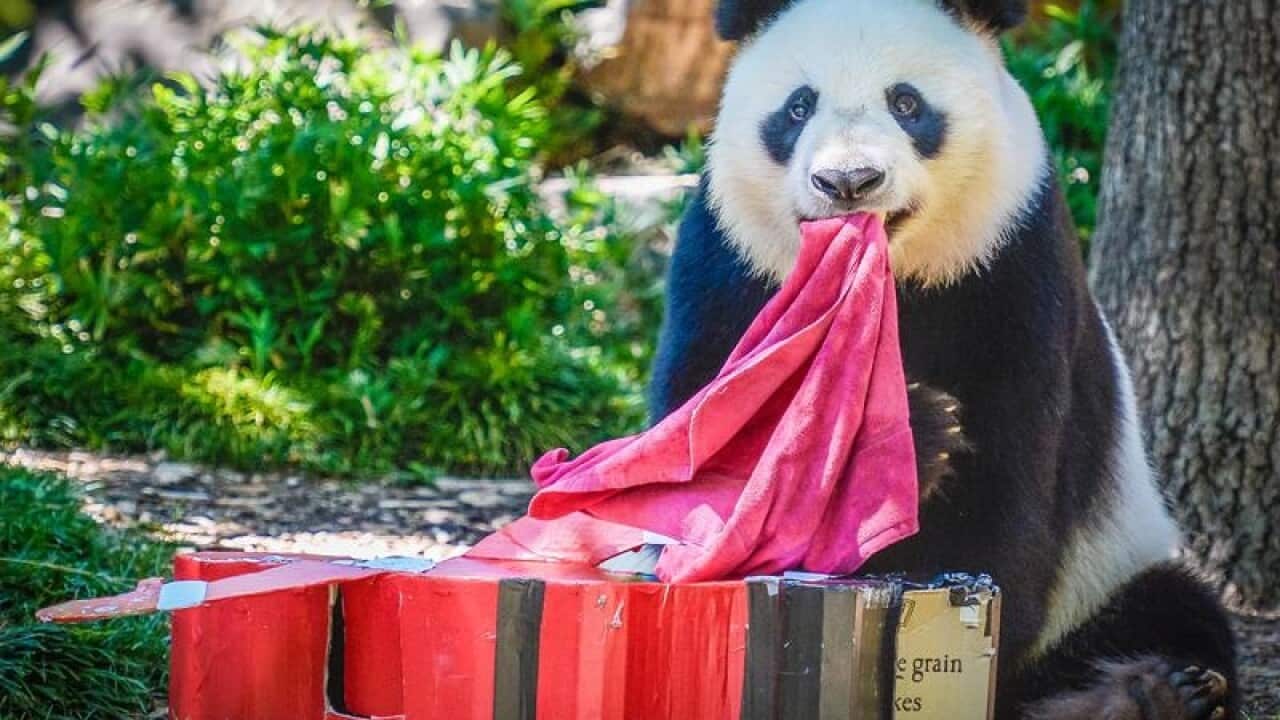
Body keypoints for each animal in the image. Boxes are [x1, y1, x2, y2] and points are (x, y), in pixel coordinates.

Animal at [648, 0, 1239, 718]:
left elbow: (1003, 509)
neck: (885, 270)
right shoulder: (730, 262)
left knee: (1175, 610)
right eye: (798, 107)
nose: (849, 181)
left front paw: (915, 439)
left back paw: (1148, 693)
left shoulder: (1012, 267)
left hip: (1107, 567)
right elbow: (688, 473)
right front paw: (899, 432)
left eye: (906, 103)